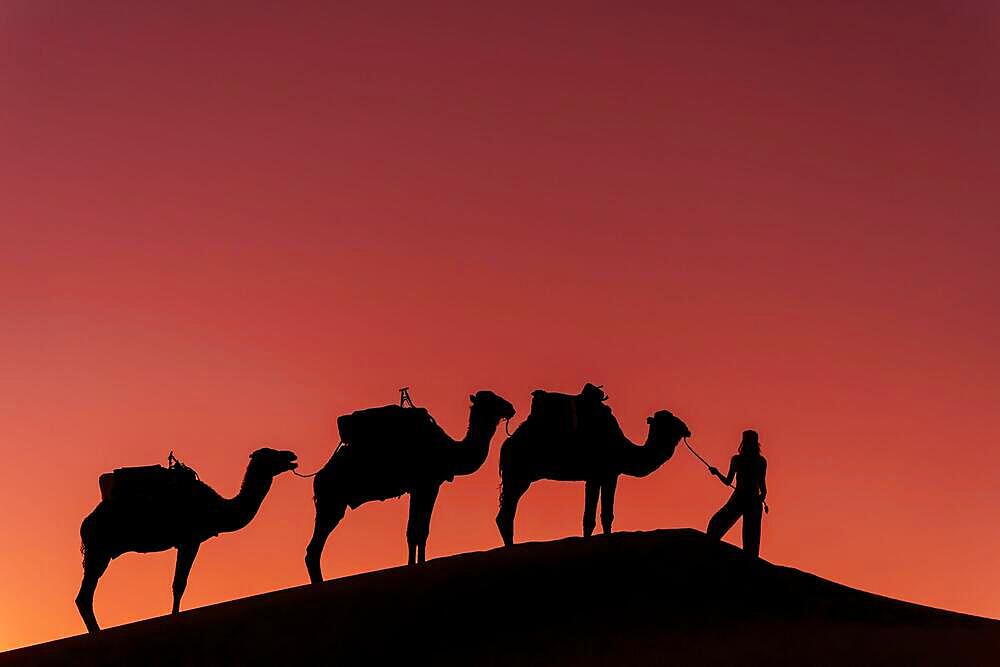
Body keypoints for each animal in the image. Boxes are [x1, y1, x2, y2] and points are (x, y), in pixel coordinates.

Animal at [74, 448, 296, 632]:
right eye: (270, 454)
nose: (291, 455)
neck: (218, 509)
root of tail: (85, 523)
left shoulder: (186, 542)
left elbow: (178, 584)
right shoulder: (190, 541)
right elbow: (179, 584)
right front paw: (174, 617)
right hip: (100, 550)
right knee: (84, 597)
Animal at [304, 388, 516, 580]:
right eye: (491, 400)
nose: (511, 408)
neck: (450, 451)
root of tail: (318, 477)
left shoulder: (417, 488)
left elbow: (414, 531)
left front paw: (414, 564)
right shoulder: (428, 484)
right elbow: (419, 531)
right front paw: (418, 565)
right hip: (332, 501)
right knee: (313, 550)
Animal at [494, 386, 696, 548]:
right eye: (668, 421)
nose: (687, 430)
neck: (624, 449)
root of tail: (506, 445)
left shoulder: (598, 477)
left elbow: (594, 518)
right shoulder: (607, 474)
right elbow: (601, 516)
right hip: (519, 474)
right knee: (505, 515)